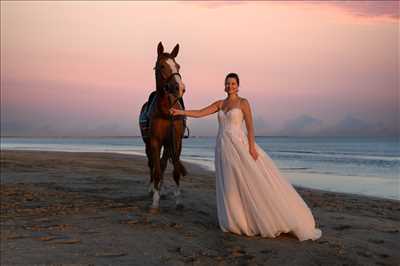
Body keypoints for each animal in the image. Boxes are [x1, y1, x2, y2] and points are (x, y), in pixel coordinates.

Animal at [139, 41, 188, 212]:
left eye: (178, 66)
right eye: (161, 66)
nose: (179, 87)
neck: (166, 110)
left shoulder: (176, 141)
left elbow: (174, 170)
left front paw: (178, 200)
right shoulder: (154, 141)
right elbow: (156, 170)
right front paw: (155, 201)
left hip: (167, 144)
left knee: (163, 163)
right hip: (148, 143)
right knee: (152, 165)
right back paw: (151, 189)